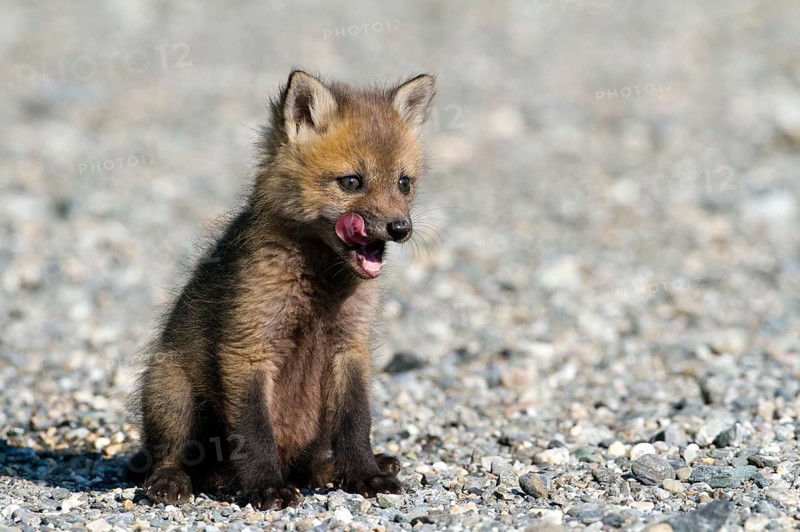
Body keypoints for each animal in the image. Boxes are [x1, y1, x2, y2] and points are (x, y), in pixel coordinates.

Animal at [132, 70, 435, 509]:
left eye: (404, 183)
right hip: (171, 389)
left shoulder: (350, 348)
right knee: (170, 455)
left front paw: (366, 475)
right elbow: (255, 430)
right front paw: (265, 487)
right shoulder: (248, 348)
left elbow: (356, 423)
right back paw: (176, 481)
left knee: (312, 463)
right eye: (351, 182)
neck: (318, 286)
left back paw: (336, 469)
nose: (400, 228)